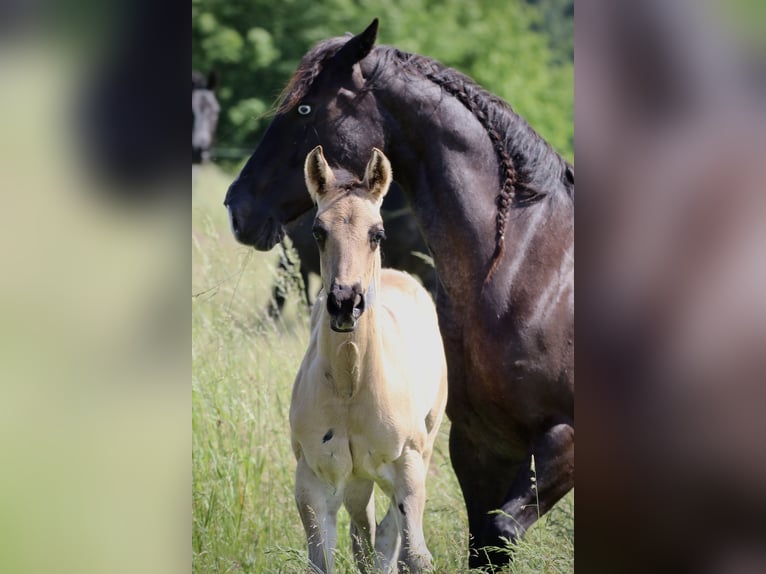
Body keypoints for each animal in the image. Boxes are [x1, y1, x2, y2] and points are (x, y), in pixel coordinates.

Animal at [292, 146, 450, 572]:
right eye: (318, 231)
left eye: (376, 234)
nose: (346, 303)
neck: (352, 384)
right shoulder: (313, 480)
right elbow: (324, 559)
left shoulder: (407, 469)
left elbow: (414, 554)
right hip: (357, 478)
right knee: (363, 531)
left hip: (418, 451)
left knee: (384, 536)